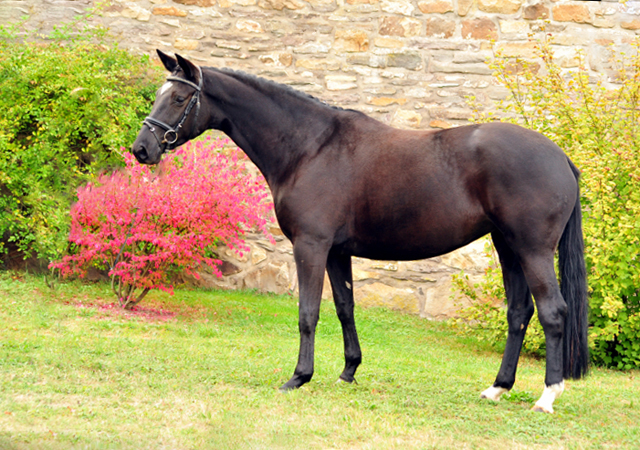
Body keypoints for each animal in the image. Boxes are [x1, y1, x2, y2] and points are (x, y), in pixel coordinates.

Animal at [132, 51, 588, 414]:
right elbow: (344, 307)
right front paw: (348, 371)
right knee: (518, 313)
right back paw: (497, 388)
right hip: (506, 246)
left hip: (532, 250)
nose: (141, 149)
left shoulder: (311, 246)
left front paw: (298, 377)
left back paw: (547, 396)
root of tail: (560, 156)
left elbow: (308, 312)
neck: (310, 147)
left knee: (552, 312)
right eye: (159, 95)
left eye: (178, 98)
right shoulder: (337, 251)